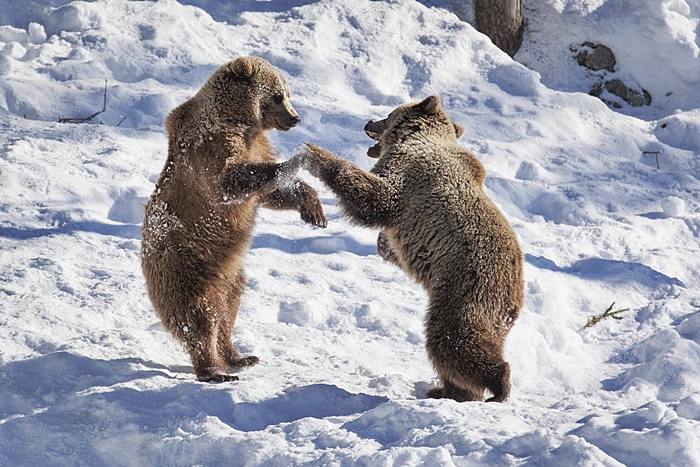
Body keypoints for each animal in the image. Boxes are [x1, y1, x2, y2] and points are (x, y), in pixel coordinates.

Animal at [144, 55, 330, 384]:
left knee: (228, 310)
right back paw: (214, 371)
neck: (241, 120)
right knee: (199, 317)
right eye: (278, 95)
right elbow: (231, 180)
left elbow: (268, 192)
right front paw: (302, 158)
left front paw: (312, 208)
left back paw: (239, 356)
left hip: (229, 274)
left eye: (288, 92)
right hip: (186, 268)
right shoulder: (212, 146)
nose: (295, 118)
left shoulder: (255, 144)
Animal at [298, 96, 524, 402]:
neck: (416, 139)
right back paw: (448, 391)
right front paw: (386, 246)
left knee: (452, 341)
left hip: (468, 289)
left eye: (389, 113)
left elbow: (375, 197)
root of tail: (515, 298)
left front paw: (312, 152)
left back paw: (497, 385)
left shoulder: (409, 175)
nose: (369, 121)